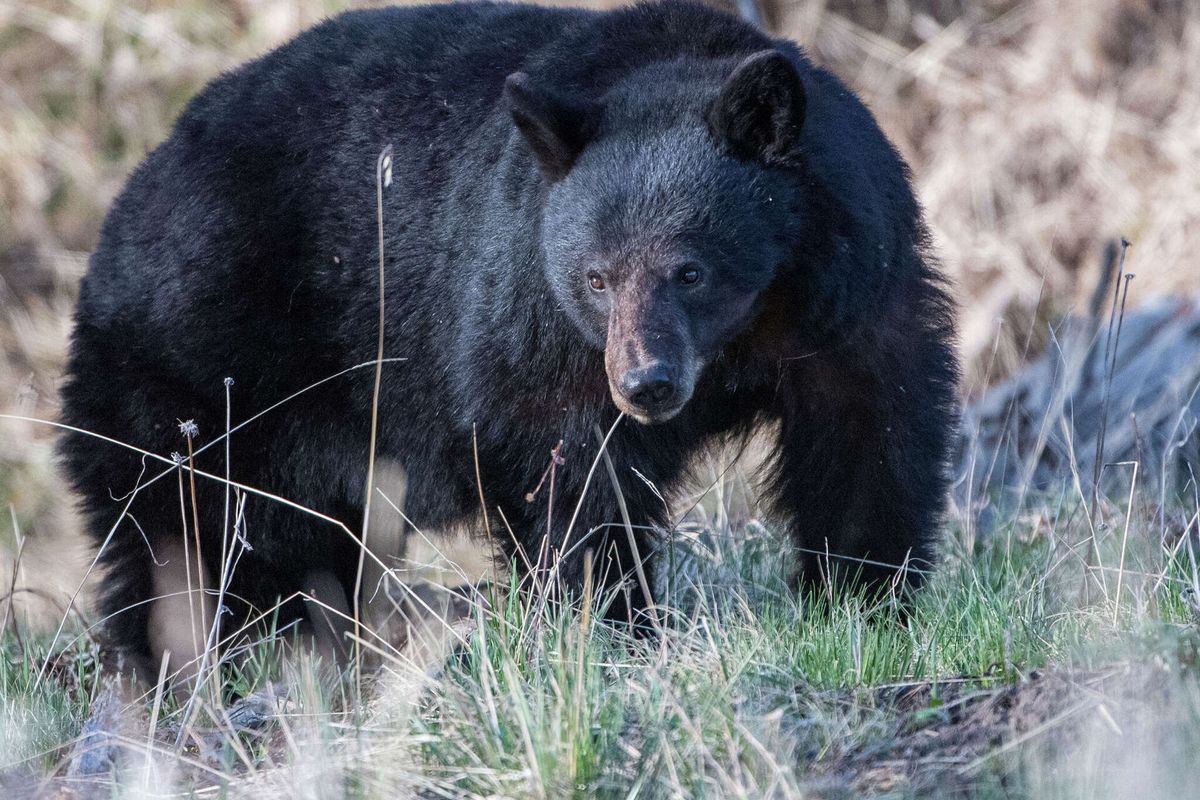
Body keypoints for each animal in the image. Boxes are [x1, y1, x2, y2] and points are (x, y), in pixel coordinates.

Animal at [58, 0, 958, 677]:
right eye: (595, 278)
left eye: (689, 270)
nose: (648, 385)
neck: (747, 331)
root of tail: (124, 208)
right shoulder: (534, 320)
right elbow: (576, 478)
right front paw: (605, 624)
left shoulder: (853, 292)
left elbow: (867, 435)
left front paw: (865, 599)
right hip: (203, 373)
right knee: (188, 532)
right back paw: (198, 664)